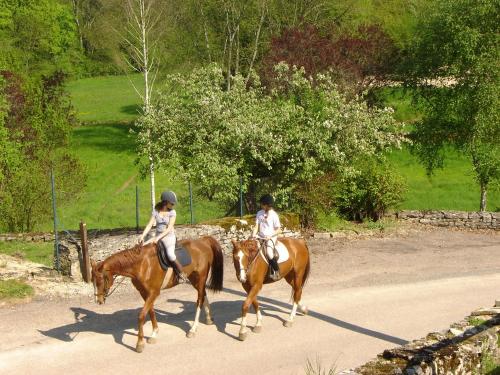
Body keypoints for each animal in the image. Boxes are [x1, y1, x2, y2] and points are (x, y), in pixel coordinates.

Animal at [90, 236, 223, 354]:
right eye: (92, 281)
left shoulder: (154, 292)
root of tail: (203, 241)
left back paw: (193, 329)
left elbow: (141, 315)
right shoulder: (144, 293)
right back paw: (209, 318)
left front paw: (140, 344)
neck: (142, 265)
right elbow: (151, 311)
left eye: (100, 281)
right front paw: (154, 334)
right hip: (194, 278)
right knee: (203, 295)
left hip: (200, 278)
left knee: (199, 299)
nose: (98, 300)